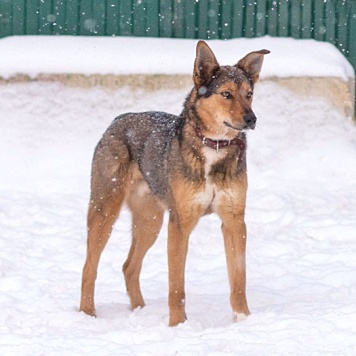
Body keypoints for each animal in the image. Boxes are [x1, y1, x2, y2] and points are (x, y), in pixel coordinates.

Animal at [80, 40, 270, 326]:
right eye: (226, 94)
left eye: (249, 94)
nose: (252, 119)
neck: (214, 145)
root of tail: (118, 119)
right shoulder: (180, 224)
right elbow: (176, 284)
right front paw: (178, 325)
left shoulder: (234, 221)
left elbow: (239, 278)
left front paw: (243, 319)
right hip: (105, 211)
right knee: (89, 266)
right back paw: (87, 313)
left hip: (150, 221)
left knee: (129, 266)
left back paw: (140, 310)